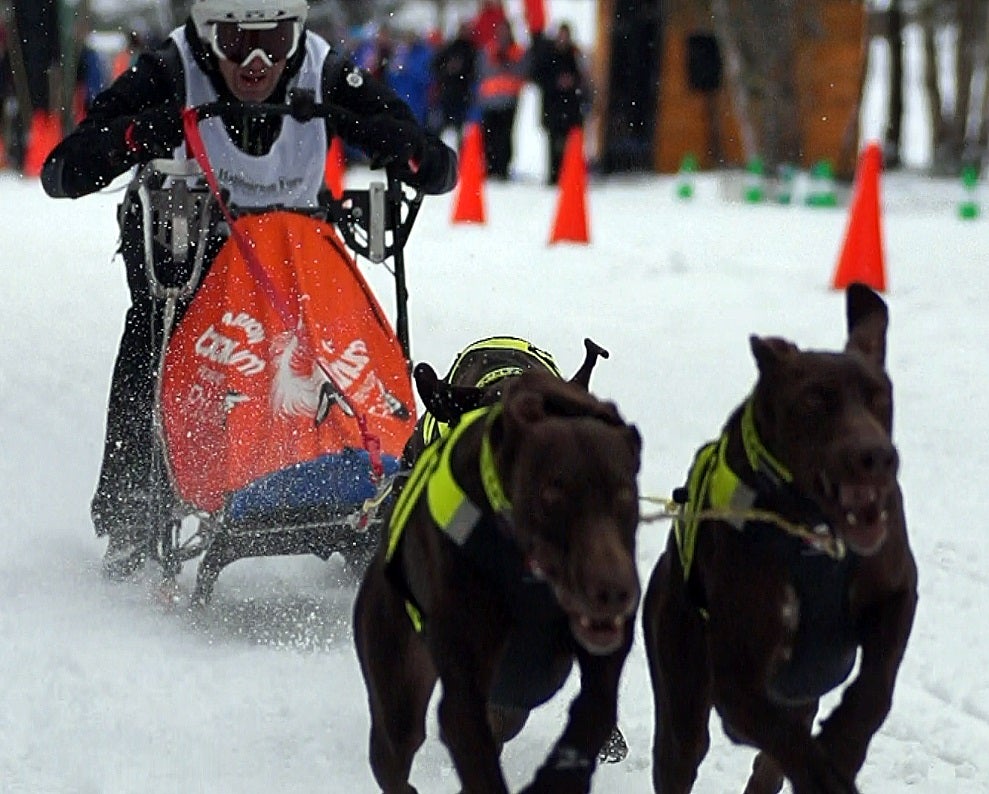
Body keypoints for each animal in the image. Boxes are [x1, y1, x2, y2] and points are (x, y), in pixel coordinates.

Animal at [354, 372, 640, 792]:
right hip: (397, 677)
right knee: (396, 747)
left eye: (625, 495)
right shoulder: (464, 689)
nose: (612, 591)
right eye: (551, 495)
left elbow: (593, 709)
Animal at [640, 284, 920, 792]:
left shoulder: (898, 590)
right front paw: (828, 773)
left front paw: (844, 741)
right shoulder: (737, 681)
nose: (876, 457)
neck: (817, 538)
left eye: (879, 397)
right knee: (686, 748)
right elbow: (788, 741)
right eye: (814, 401)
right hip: (680, 676)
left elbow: (876, 688)